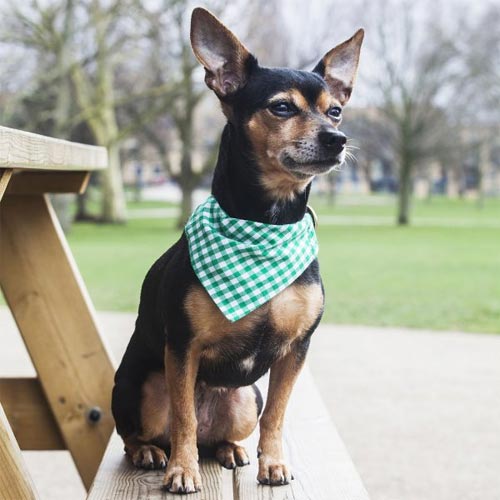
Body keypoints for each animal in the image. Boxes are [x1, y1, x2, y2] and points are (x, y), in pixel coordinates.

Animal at [112, 5, 364, 494]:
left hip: (246, 395)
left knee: (220, 435)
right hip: (141, 386)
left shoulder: (295, 350)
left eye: (336, 112)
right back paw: (152, 453)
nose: (336, 139)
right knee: (145, 432)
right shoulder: (182, 349)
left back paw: (231, 449)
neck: (266, 223)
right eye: (281, 107)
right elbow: (185, 418)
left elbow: (277, 415)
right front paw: (182, 471)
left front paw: (274, 463)